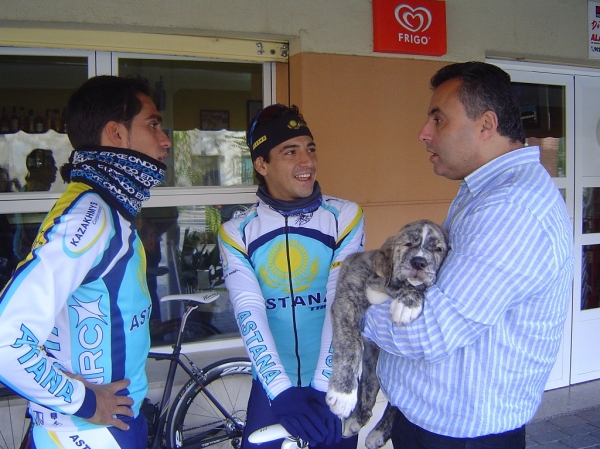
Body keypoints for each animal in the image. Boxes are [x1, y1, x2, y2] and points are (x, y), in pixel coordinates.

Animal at [326, 219, 448, 446]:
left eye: (438, 249)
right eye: (407, 244)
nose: (419, 263)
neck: (388, 288)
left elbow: (417, 288)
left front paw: (408, 301)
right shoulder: (346, 302)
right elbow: (351, 344)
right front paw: (343, 394)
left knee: (394, 402)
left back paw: (378, 432)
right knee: (371, 385)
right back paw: (357, 418)